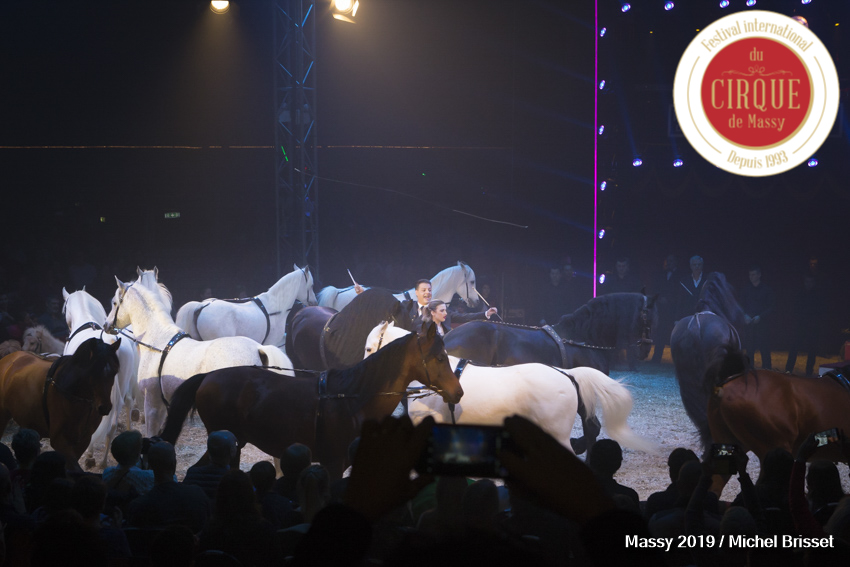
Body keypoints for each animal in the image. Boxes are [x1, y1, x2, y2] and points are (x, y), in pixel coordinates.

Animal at [105, 273, 294, 437]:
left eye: (114, 302)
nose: (106, 325)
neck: (158, 341)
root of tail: (259, 348)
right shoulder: (162, 405)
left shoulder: (152, 402)